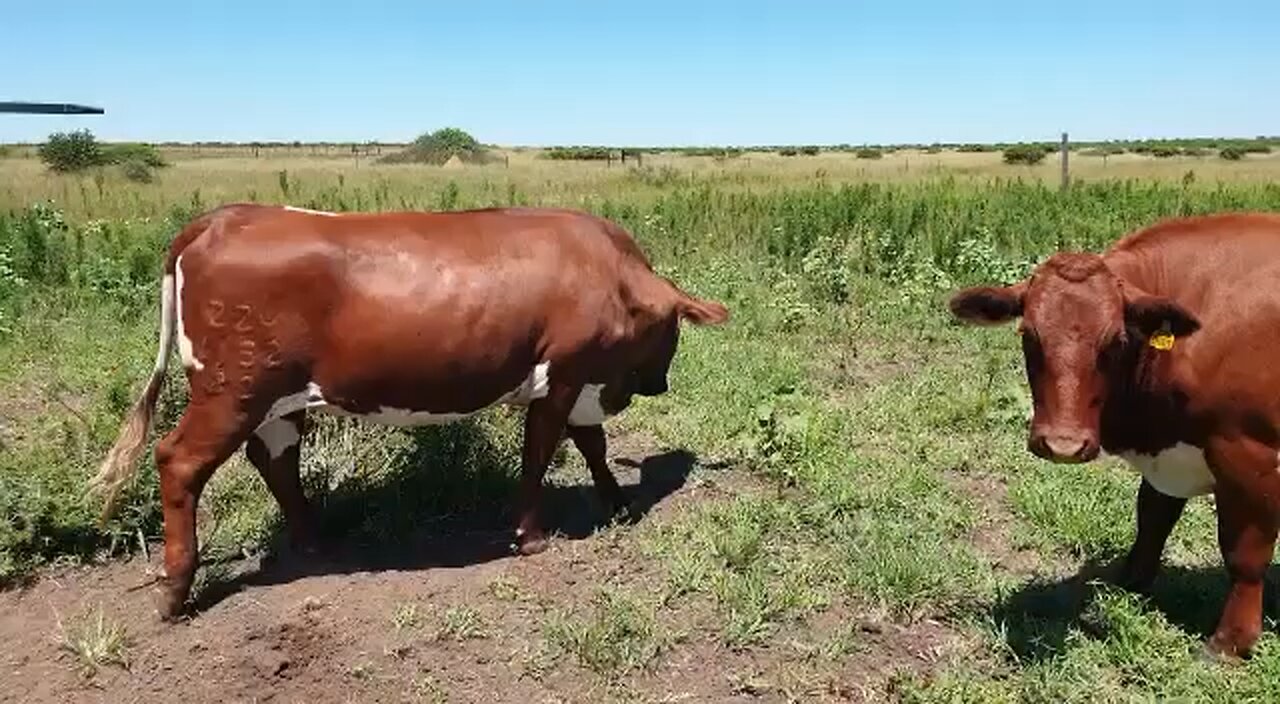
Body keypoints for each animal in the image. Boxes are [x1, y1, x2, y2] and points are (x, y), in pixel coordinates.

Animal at [90, 200, 732, 622]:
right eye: (672, 332)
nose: (659, 385)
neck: (608, 271)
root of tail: (223, 217)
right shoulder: (566, 372)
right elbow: (540, 454)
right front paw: (531, 536)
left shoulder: (581, 381)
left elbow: (591, 442)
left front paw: (618, 504)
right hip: (231, 391)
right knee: (179, 461)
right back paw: (176, 592)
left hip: (274, 398)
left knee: (275, 459)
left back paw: (316, 541)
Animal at [947, 211, 1280, 660]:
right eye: (1028, 335)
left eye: (1115, 340)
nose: (1063, 445)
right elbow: (1152, 519)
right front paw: (1128, 586)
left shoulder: (1250, 455)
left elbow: (1244, 555)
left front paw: (1230, 642)